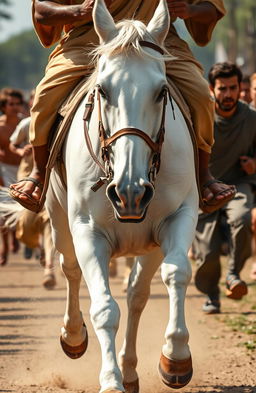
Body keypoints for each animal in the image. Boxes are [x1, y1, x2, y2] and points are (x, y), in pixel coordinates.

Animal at [45, 0, 198, 390]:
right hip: (58, 218)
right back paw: (73, 335)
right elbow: (104, 308)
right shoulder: (87, 230)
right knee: (70, 269)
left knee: (137, 294)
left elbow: (176, 273)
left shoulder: (177, 218)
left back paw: (131, 371)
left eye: (161, 91)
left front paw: (175, 357)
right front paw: (110, 379)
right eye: (102, 90)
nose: (130, 192)